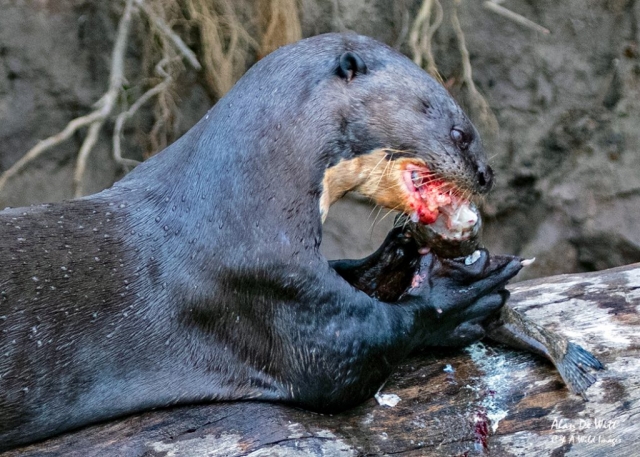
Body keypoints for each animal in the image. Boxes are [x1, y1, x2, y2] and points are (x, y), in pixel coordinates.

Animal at [0, 33, 522, 450]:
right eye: (461, 133)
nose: (487, 175)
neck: (235, 197)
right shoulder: (266, 278)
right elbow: (359, 350)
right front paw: (461, 297)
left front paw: (403, 250)